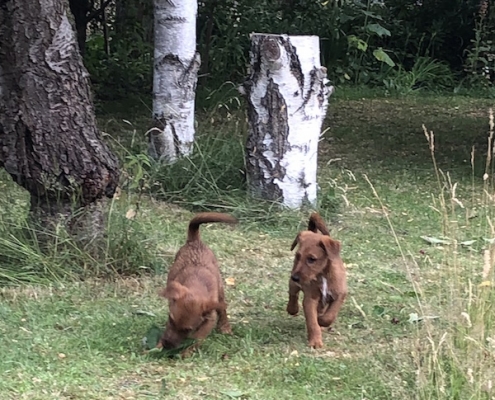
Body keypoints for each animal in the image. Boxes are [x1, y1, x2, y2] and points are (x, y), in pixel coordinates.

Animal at [158, 212, 237, 350]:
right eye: (170, 320)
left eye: (187, 330)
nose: (167, 344)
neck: (196, 284)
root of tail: (194, 241)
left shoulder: (210, 318)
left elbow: (198, 337)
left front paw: (187, 350)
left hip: (220, 290)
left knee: (222, 309)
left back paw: (225, 327)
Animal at [286, 212, 348, 346]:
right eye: (298, 256)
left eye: (312, 259)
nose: (295, 277)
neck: (323, 275)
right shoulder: (310, 299)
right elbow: (312, 322)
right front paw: (315, 342)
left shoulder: (340, 294)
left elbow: (330, 316)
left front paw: (322, 322)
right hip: (293, 284)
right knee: (293, 294)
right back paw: (292, 309)